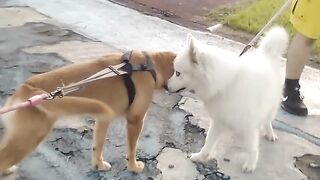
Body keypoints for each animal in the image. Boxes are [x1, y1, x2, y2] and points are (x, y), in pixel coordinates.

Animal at [0, 50, 175, 176]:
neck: (149, 64)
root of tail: (26, 88)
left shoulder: (103, 119)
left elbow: (98, 146)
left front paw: (99, 165)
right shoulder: (135, 121)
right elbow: (131, 150)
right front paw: (133, 166)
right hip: (27, 139)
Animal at [169, 27, 288, 173]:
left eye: (178, 73)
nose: (166, 85)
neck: (226, 84)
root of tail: (267, 54)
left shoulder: (248, 124)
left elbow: (252, 146)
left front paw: (251, 163)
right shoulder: (218, 120)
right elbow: (208, 142)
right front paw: (201, 156)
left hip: (271, 105)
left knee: (267, 121)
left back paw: (270, 133)